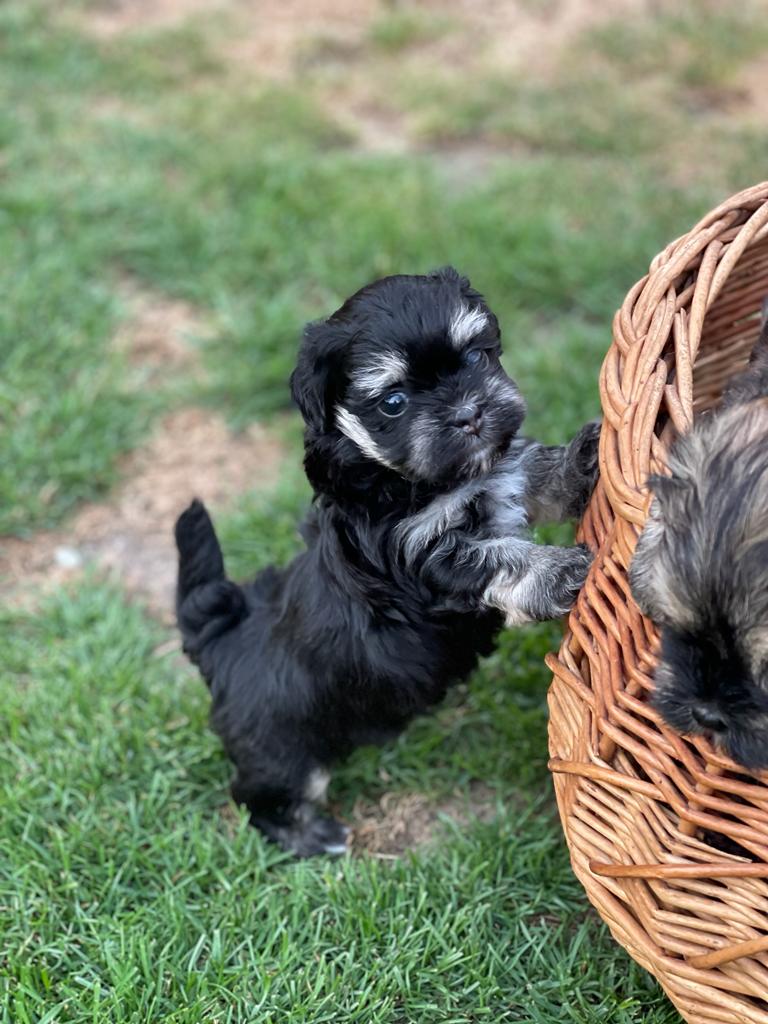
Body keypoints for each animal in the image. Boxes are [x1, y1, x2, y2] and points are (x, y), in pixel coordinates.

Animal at [175, 268, 600, 856]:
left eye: (475, 356)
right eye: (394, 402)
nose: (469, 415)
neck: (407, 480)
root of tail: (219, 642)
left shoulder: (501, 473)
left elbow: (536, 471)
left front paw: (583, 461)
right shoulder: (425, 554)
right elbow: (498, 559)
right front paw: (559, 571)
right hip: (284, 749)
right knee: (259, 797)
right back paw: (311, 836)